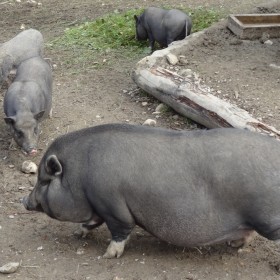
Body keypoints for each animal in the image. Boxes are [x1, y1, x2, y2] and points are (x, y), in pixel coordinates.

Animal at [22, 124, 280, 258]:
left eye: (44, 181)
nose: (24, 200)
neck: (80, 175)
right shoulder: (98, 206)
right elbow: (91, 223)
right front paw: (77, 234)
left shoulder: (112, 206)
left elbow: (120, 230)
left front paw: (108, 255)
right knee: (247, 233)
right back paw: (232, 246)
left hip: (268, 219)